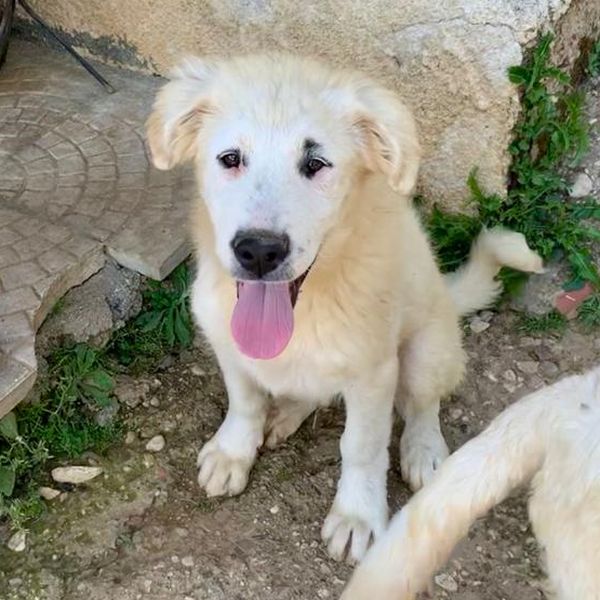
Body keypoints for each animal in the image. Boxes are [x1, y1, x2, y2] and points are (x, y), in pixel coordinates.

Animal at [146, 54, 543, 562]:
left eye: (315, 164)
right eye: (230, 158)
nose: (258, 251)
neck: (305, 310)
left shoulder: (373, 373)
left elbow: (362, 446)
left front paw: (358, 515)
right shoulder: (229, 346)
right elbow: (244, 402)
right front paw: (235, 450)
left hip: (426, 351)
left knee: (423, 404)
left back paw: (423, 451)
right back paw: (284, 414)